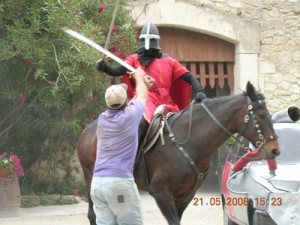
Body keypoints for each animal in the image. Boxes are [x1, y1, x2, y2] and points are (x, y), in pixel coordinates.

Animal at [76, 81, 280, 225]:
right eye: (261, 115)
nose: (275, 149)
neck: (191, 144)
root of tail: (88, 130)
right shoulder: (161, 193)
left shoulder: (184, 196)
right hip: (90, 178)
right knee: (93, 215)